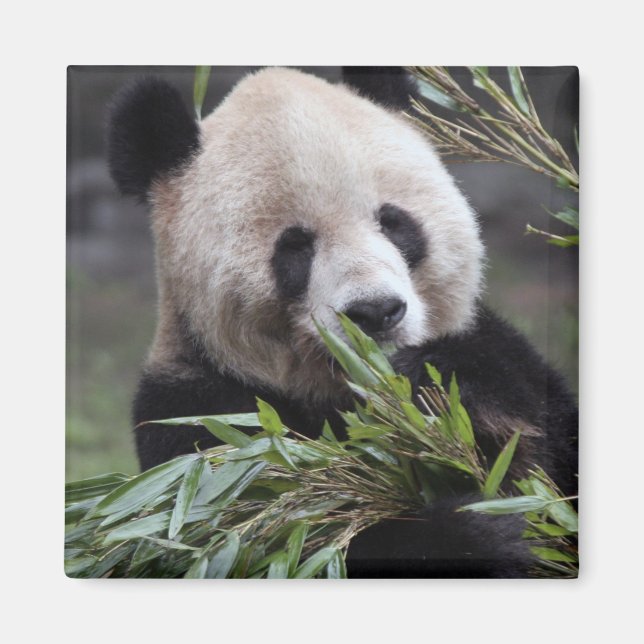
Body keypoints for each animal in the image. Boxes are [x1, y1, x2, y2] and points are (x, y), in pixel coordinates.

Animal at [107, 67, 578, 578]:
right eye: (295, 246)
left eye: (392, 222)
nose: (376, 312)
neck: (345, 389)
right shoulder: (199, 423)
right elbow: (274, 534)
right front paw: (483, 535)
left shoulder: (504, 353)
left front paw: (441, 389)